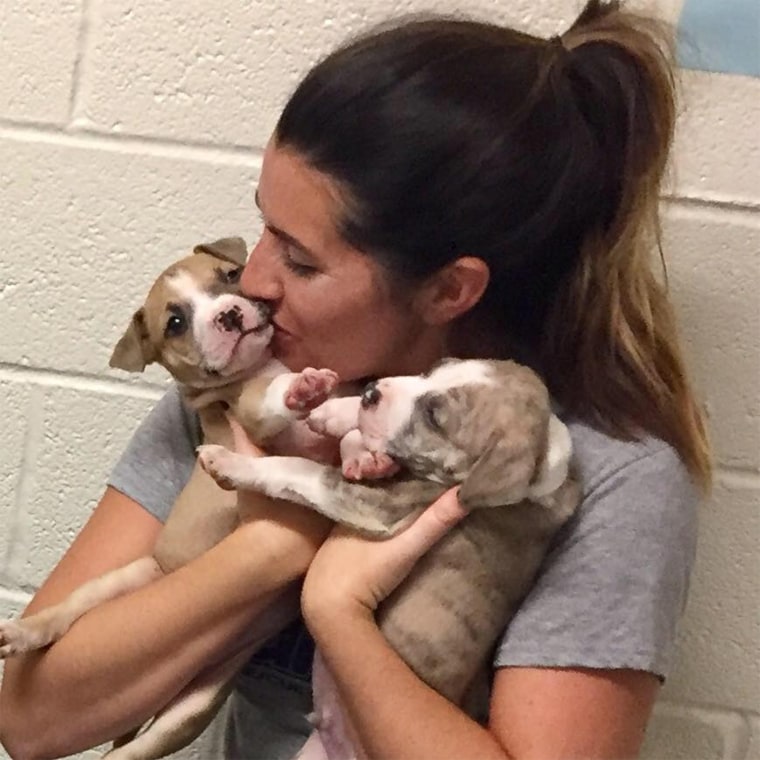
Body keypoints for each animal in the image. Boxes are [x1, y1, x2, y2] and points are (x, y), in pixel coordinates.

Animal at [199, 356, 580, 760]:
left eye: (434, 417)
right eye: (434, 369)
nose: (371, 392)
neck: (543, 459)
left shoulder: (377, 506)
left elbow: (296, 469)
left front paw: (230, 462)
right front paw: (333, 411)